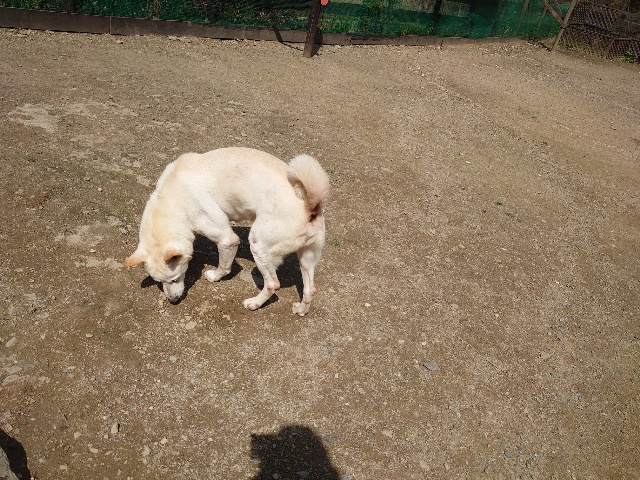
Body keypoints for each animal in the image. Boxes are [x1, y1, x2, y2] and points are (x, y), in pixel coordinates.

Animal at [124, 147, 330, 316]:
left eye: (174, 279)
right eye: (159, 282)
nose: (172, 300)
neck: (170, 201)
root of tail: (310, 205)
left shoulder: (226, 239)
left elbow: (224, 265)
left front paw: (215, 277)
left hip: (258, 245)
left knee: (273, 284)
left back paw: (254, 303)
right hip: (307, 258)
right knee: (309, 290)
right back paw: (301, 310)